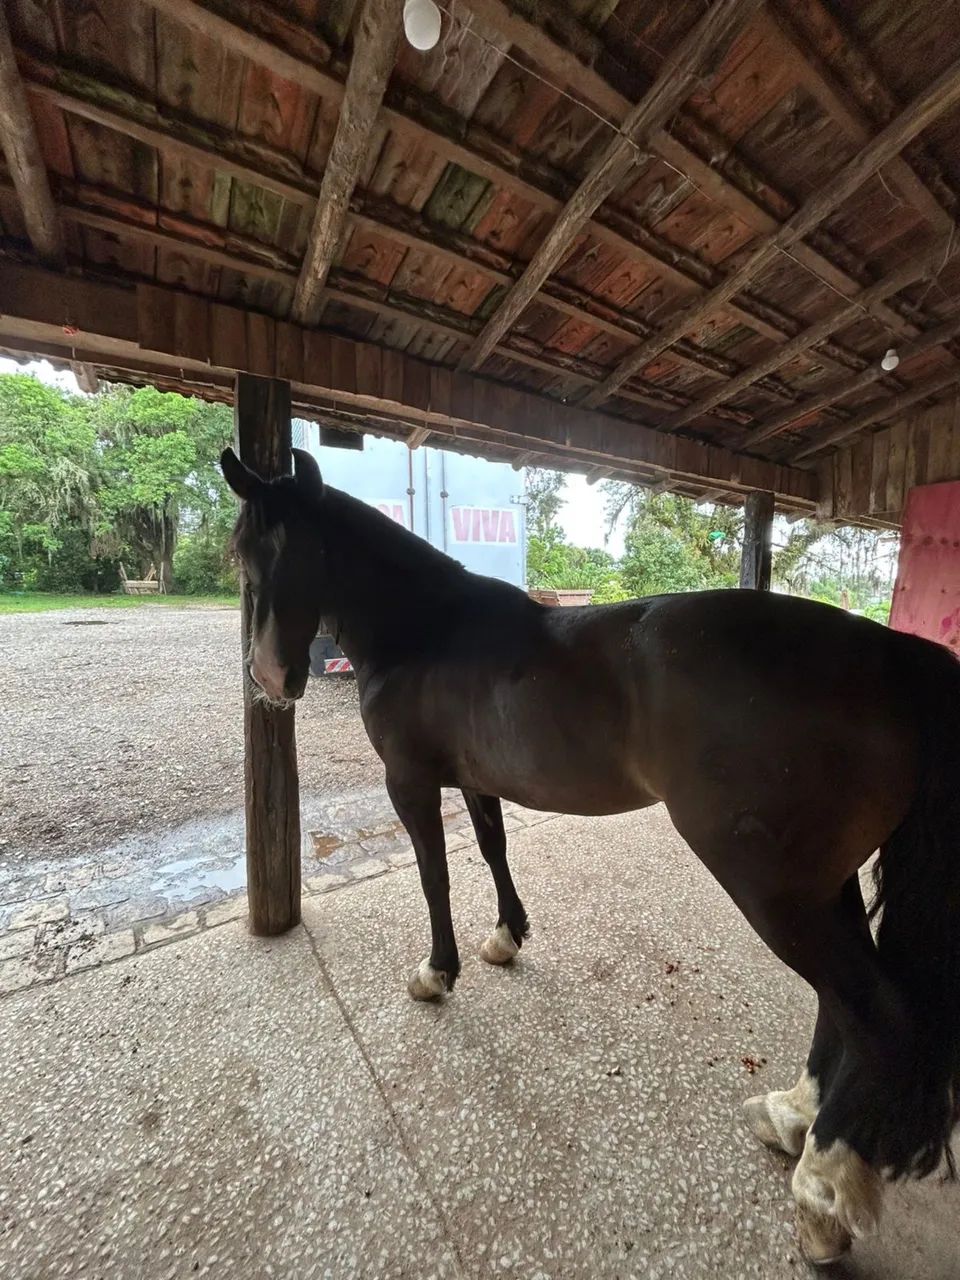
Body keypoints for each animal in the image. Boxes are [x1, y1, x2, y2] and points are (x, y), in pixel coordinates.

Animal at [221, 445, 960, 1265]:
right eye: (243, 553)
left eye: (303, 551)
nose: (270, 678)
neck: (429, 632)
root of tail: (891, 656)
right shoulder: (475, 780)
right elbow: (492, 848)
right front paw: (506, 937)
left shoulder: (410, 783)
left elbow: (435, 877)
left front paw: (437, 972)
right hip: (820, 886)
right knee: (844, 1004)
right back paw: (793, 1118)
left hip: (773, 890)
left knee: (876, 1016)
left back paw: (823, 1199)